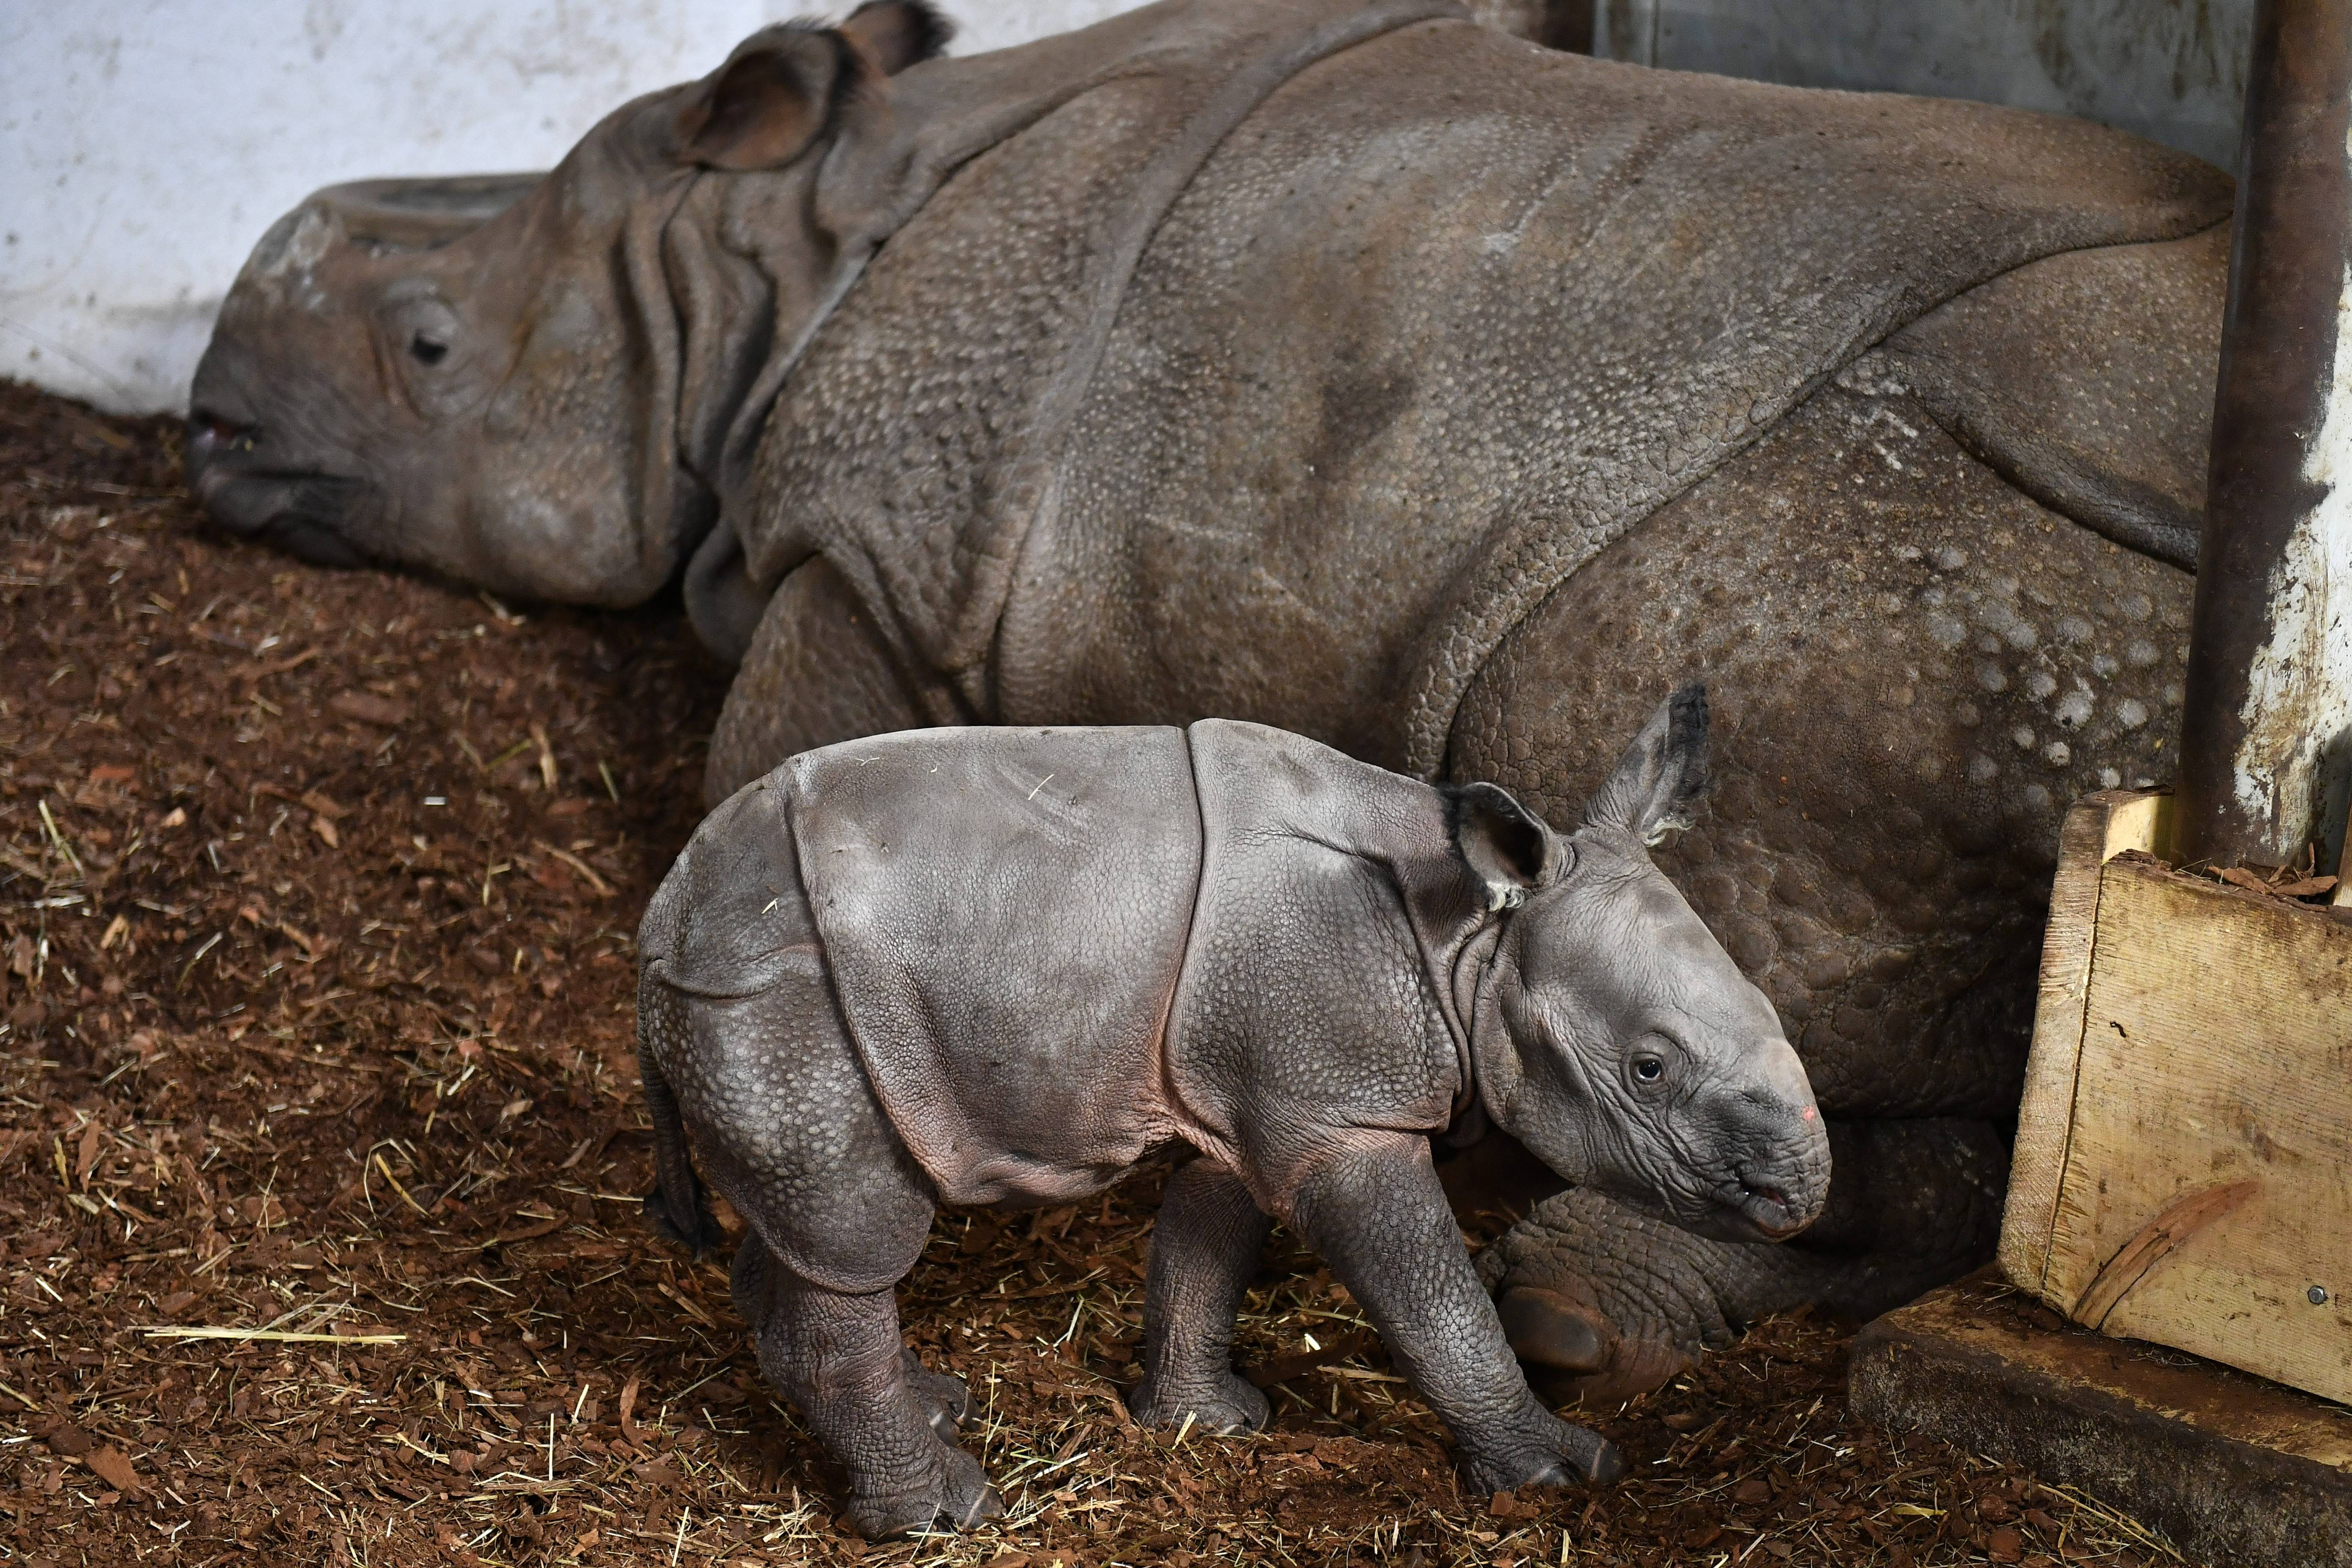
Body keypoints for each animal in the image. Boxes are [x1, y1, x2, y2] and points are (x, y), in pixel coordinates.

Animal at [635, 691, 1825, 1542]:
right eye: (1648, 1069)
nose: (1804, 1191)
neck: (1472, 936)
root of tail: (660, 922)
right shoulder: (1342, 1112)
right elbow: (1434, 1295)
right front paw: (1554, 1473)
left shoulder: (1257, 1084)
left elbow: (1207, 1244)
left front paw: (1203, 1424)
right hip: (786, 1006)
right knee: (858, 1238)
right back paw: (944, 1516)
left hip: (770, 1009)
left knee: (813, 1237)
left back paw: (930, 1410)